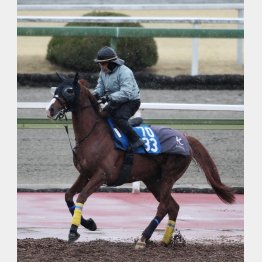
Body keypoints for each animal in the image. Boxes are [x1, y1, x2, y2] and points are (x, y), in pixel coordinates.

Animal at [45, 72, 235, 249]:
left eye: (69, 90)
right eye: (56, 89)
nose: (50, 110)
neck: (94, 134)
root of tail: (185, 138)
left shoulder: (102, 175)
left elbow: (82, 196)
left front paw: (73, 231)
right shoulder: (85, 174)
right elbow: (68, 196)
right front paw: (89, 224)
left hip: (169, 176)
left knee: (164, 206)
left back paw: (143, 238)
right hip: (152, 179)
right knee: (173, 206)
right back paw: (164, 241)